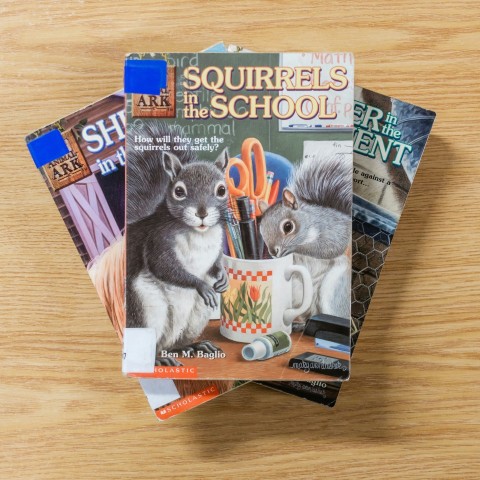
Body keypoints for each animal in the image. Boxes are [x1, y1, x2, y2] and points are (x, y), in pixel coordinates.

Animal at [126, 122, 230, 366]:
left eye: (222, 190)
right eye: (179, 191)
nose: (202, 213)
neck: (200, 234)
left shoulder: (217, 245)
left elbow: (216, 263)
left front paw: (223, 278)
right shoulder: (156, 241)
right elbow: (164, 267)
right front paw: (200, 285)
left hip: (196, 317)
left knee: (175, 343)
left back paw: (192, 346)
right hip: (147, 309)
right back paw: (157, 359)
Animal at [258, 153, 352, 326]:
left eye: (288, 226)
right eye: (261, 231)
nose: (273, 252)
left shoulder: (335, 230)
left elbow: (332, 247)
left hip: (333, 289)